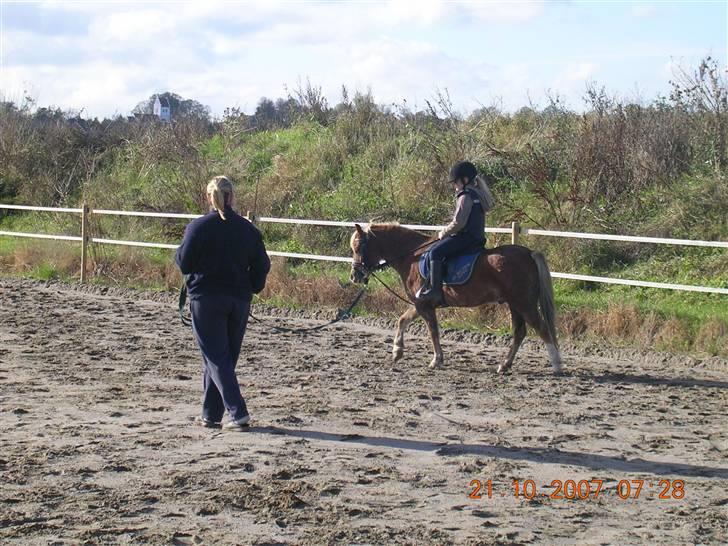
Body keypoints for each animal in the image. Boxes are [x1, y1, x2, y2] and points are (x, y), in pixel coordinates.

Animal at [352, 223, 564, 372]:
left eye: (359, 247)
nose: (355, 276)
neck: (413, 256)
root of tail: (528, 253)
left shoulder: (424, 305)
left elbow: (433, 332)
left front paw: (436, 360)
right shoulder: (420, 302)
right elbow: (402, 320)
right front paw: (397, 351)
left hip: (524, 304)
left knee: (542, 329)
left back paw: (557, 365)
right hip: (515, 305)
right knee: (520, 333)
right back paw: (505, 365)